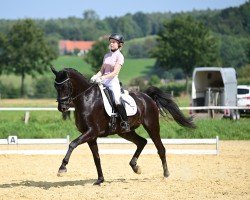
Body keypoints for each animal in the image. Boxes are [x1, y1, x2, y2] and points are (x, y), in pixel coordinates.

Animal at [50, 67, 195, 184]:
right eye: (55, 87)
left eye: (64, 86)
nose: (62, 108)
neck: (86, 99)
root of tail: (147, 96)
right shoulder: (91, 136)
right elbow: (96, 158)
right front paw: (100, 180)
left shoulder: (92, 131)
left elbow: (72, 144)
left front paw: (62, 168)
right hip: (125, 131)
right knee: (142, 142)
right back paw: (135, 167)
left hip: (152, 126)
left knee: (160, 149)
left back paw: (165, 175)